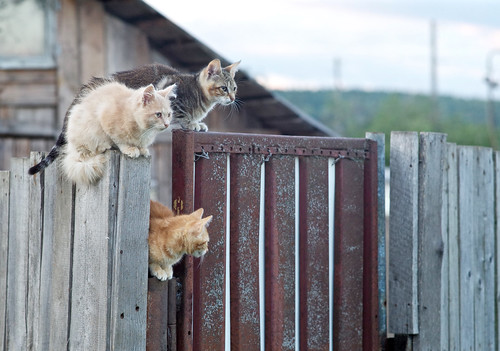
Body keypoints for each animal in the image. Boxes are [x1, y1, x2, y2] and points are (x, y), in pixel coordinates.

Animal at [28, 59, 240, 179]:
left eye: (234, 88)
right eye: (223, 88)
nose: (232, 99)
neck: (198, 93)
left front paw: (198, 123)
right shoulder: (174, 101)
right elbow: (182, 117)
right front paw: (194, 123)